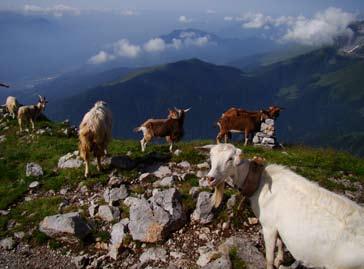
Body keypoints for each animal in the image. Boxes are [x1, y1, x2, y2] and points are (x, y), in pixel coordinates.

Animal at [202, 143, 364, 268]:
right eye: (211, 156)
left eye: (230, 159)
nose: (210, 178)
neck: (259, 183)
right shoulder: (278, 225)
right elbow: (280, 243)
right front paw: (280, 259)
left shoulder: (269, 226)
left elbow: (269, 257)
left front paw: (273, 262)